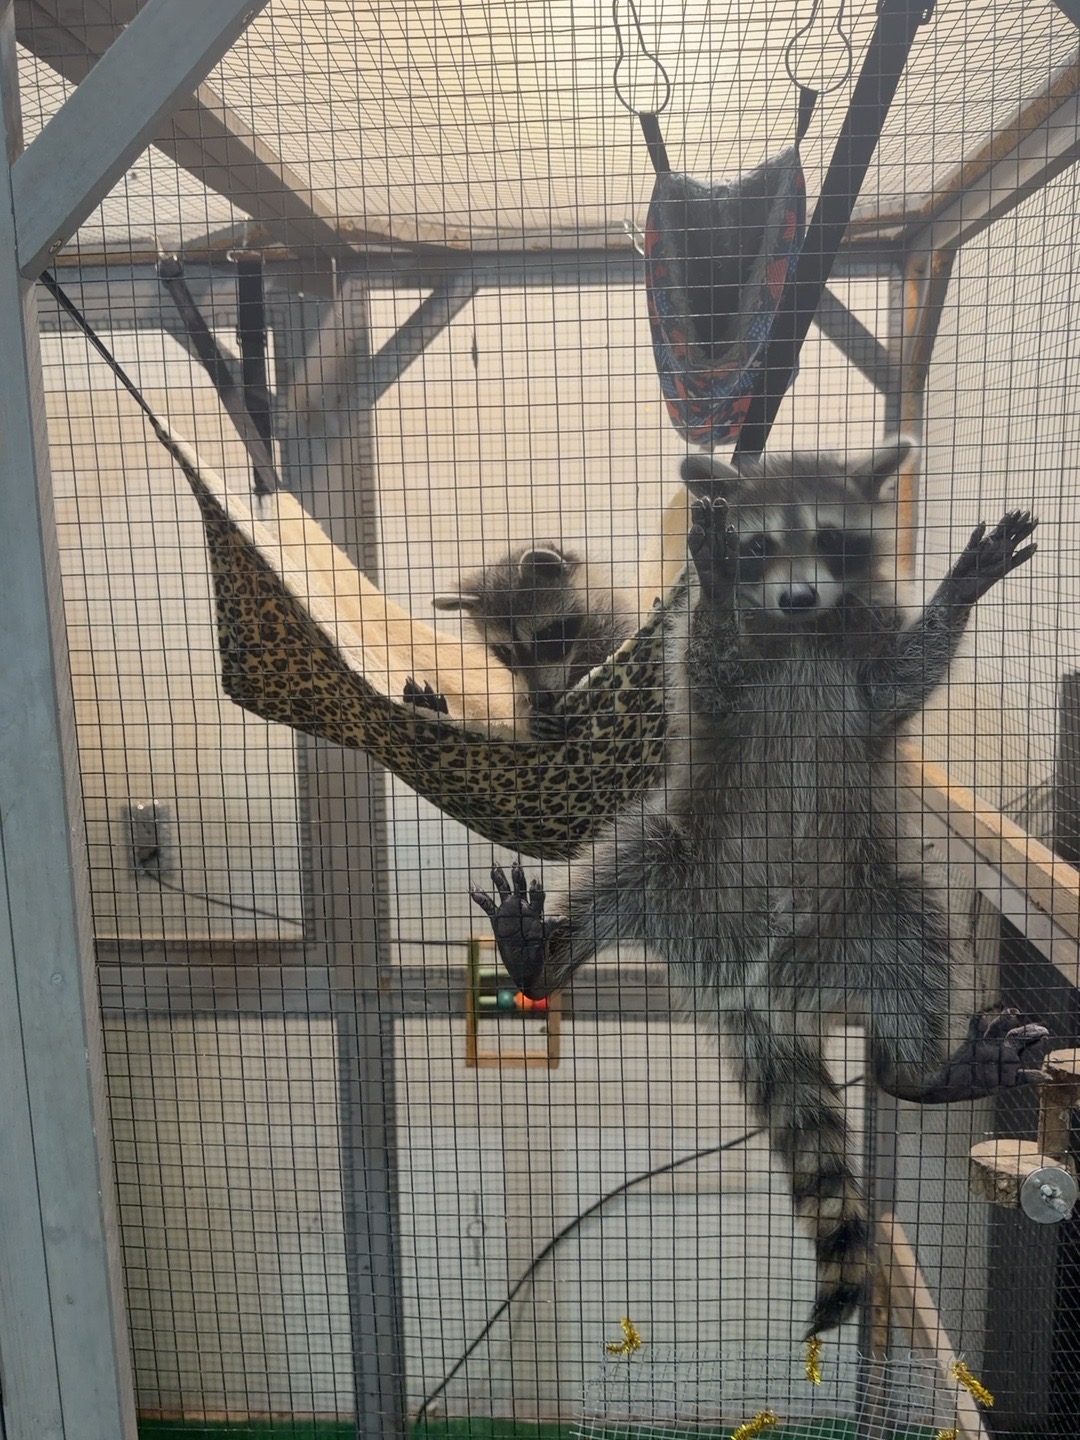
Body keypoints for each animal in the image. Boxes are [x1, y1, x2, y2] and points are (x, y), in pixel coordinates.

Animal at [470, 441, 1047, 1337]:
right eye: (758, 546)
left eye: (830, 537)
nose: (799, 593)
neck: (804, 629)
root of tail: (753, 985)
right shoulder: (706, 678)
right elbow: (711, 667)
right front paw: (707, 584)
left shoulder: (865, 656)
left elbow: (899, 684)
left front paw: (958, 590)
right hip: (682, 869)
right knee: (621, 865)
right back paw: (545, 954)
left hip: (870, 897)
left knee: (919, 928)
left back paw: (919, 1073)